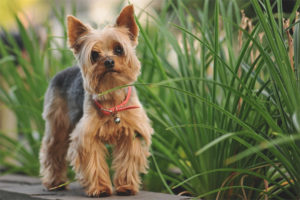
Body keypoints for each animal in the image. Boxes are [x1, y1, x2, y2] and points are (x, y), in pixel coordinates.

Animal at [39, 4, 152, 197]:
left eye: (119, 49)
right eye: (94, 54)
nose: (108, 61)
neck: (112, 96)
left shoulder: (132, 131)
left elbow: (127, 159)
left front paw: (126, 186)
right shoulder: (87, 136)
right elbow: (94, 162)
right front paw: (100, 189)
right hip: (58, 122)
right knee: (53, 148)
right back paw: (55, 183)